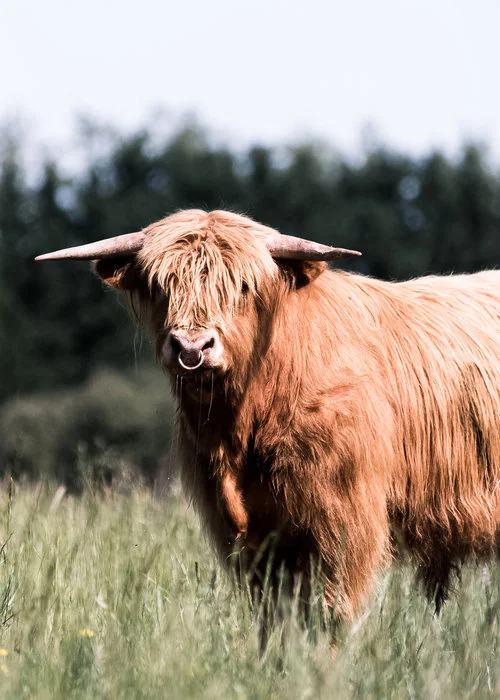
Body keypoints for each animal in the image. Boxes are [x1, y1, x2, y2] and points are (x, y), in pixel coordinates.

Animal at [36, 209, 500, 630]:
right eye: (159, 284)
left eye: (243, 285)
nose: (192, 346)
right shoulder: (250, 534)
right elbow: (273, 615)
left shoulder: (346, 518)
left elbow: (332, 611)